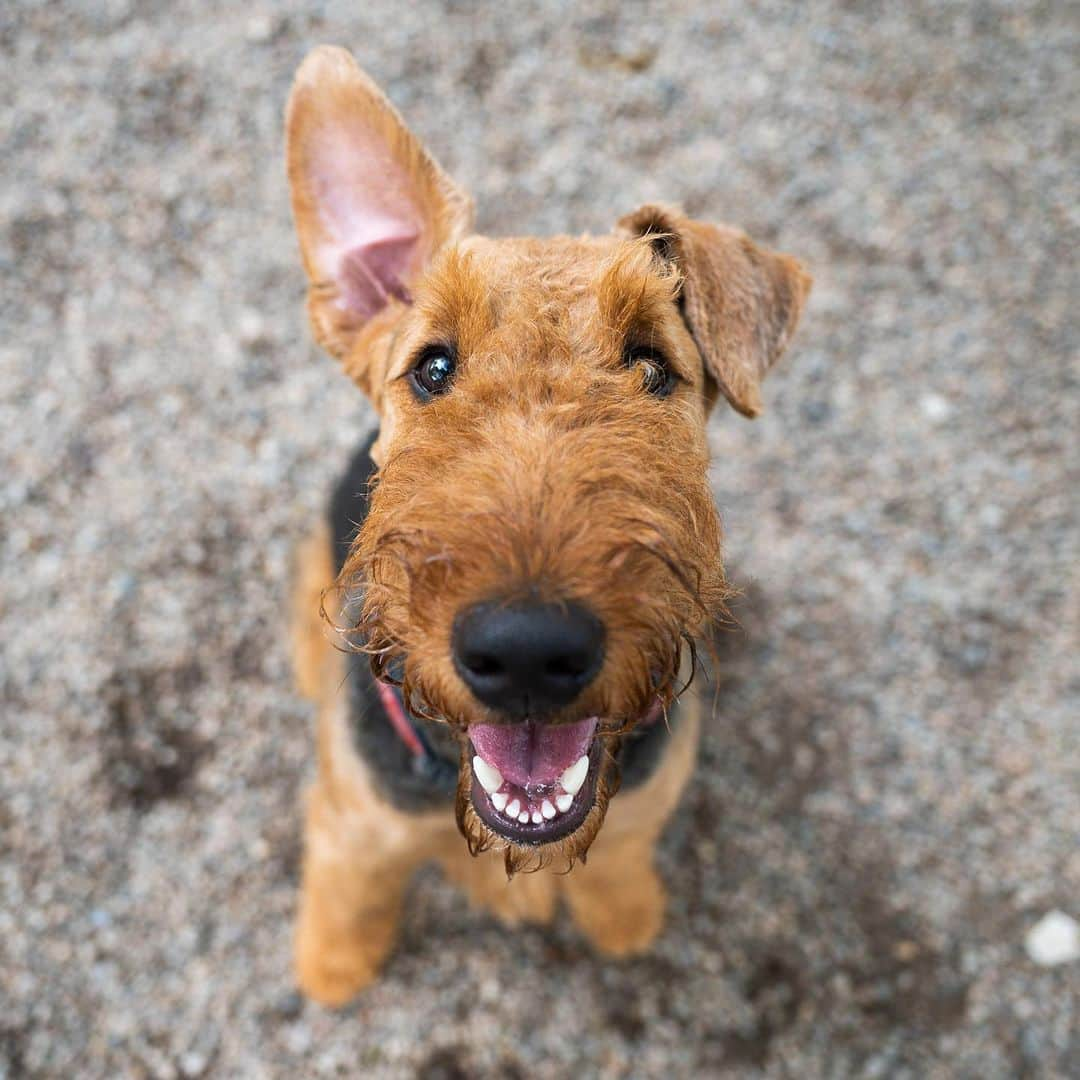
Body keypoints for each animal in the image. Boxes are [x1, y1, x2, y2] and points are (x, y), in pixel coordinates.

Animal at [282, 42, 807, 1002]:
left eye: (652, 365)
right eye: (433, 366)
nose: (526, 649)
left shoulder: (637, 811)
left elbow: (618, 866)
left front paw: (626, 923)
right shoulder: (356, 831)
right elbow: (348, 905)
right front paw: (332, 973)